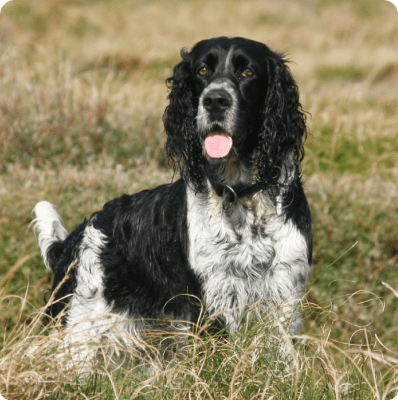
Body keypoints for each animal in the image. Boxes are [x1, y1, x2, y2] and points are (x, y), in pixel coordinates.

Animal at [32, 37, 312, 366]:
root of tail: (72, 240)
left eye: (248, 72)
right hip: (77, 327)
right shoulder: (209, 297)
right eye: (202, 70)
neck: (239, 194)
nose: (215, 100)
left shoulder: (283, 289)